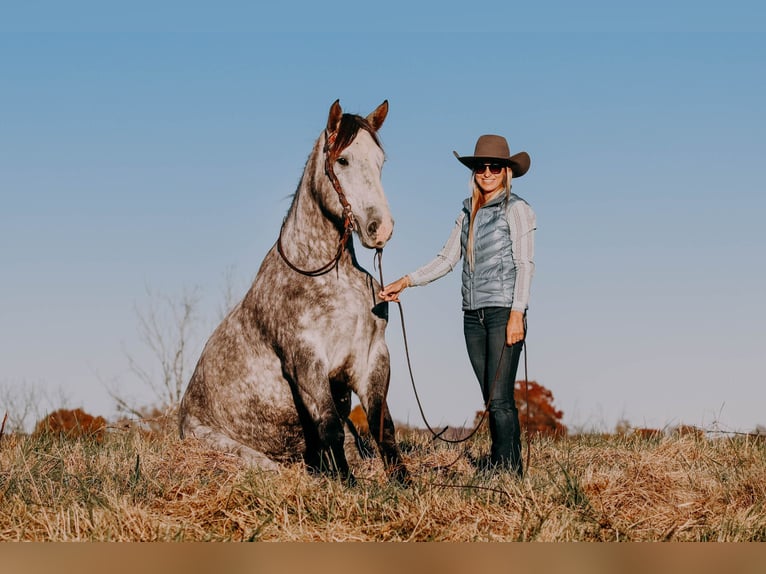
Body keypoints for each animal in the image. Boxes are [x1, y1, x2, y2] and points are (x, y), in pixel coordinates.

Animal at [178, 101, 414, 488]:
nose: (380, 229)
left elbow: (384, 428)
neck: (328, 277)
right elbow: (330, 427)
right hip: (244, 455)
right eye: (343, 160)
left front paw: (403, 483)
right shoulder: (306, 361)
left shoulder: (371, 357)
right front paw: (346, 485)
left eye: (380, 161)